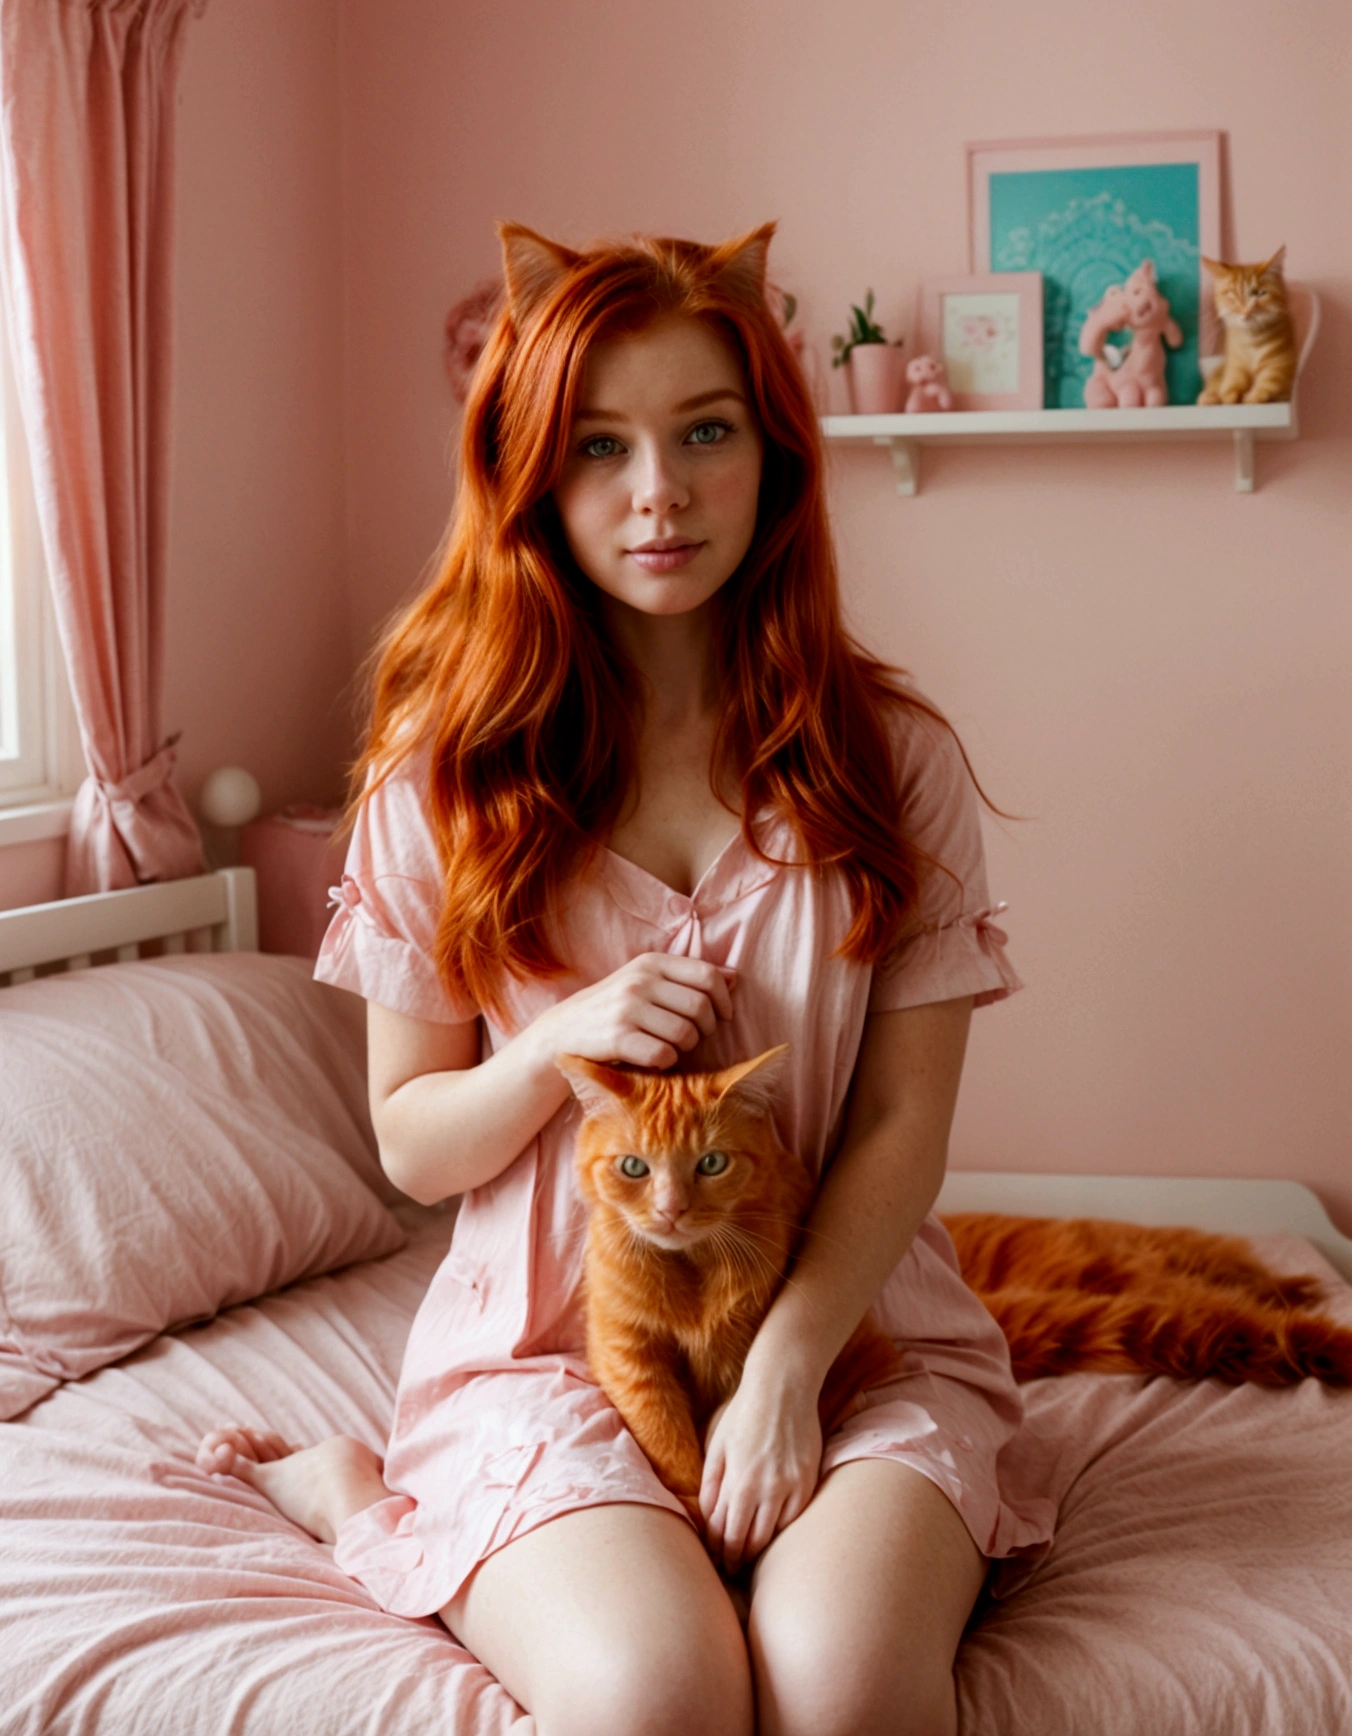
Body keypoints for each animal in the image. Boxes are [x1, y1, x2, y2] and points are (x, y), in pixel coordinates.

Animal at [555, 1041, 902, 1520]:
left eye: (712, 1162)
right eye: (633, 1167)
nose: (671, 1209)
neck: (691, 1265)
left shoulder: (744, 1350)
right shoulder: (626, 1352)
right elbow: (664, 1435)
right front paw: (691, 1504)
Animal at [1201, 244, 1298, 406]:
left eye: (1259, 293)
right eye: (1232, 294)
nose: (1246, 310)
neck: (1252, 341)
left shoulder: (1281, 363)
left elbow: (1269, 382)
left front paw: (1253, 396)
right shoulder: (1234, 363)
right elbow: (1232, 382)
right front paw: (1228, 395)